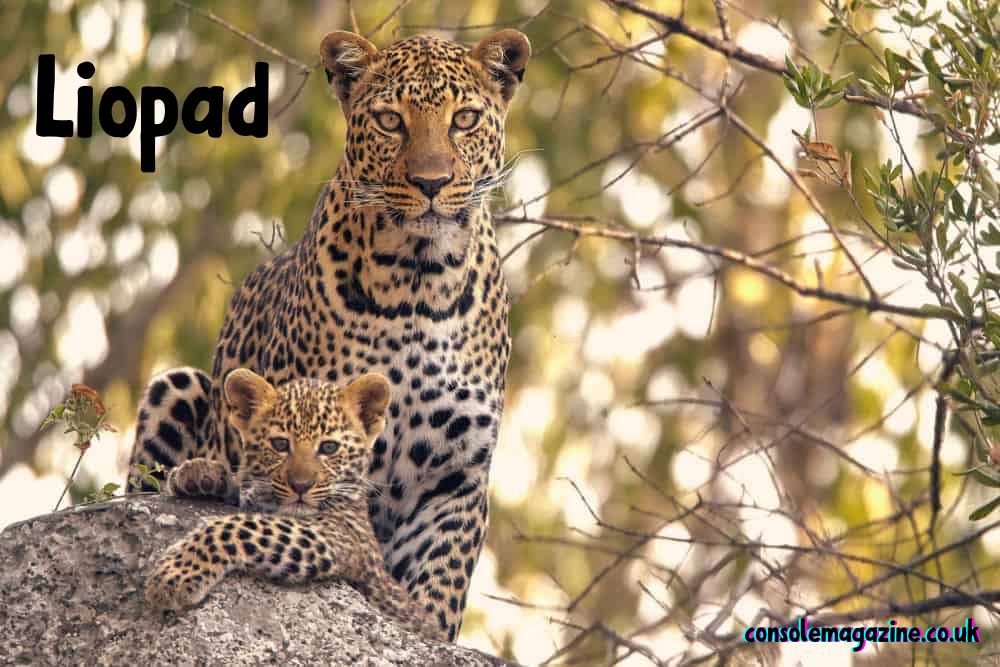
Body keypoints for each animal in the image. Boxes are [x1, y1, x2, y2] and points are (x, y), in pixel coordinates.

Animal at [144, 369, 447, 641]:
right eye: (280, 444)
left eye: (328, 448)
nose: (301, 485)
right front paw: (197, 474)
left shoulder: (338, 536)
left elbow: (238, 527)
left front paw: (174, 575)